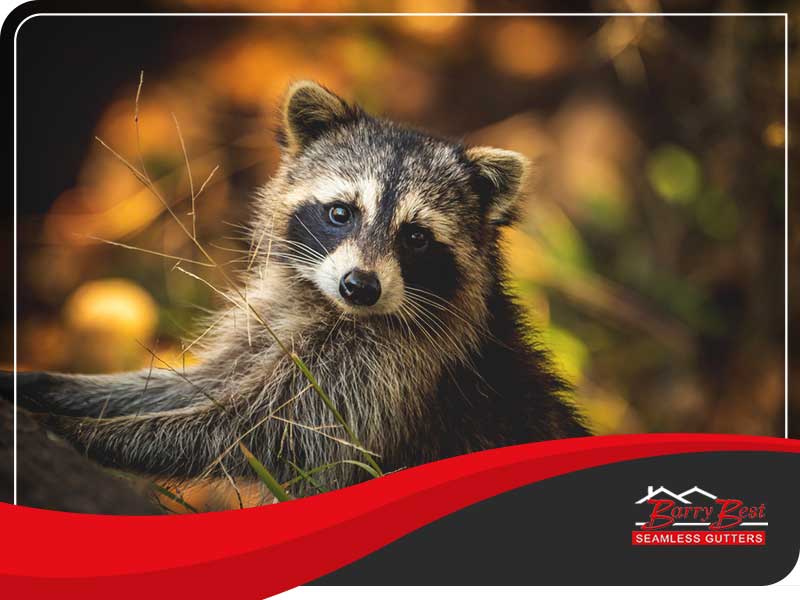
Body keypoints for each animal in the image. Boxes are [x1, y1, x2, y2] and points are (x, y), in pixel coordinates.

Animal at [10, 82, 588, 494]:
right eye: (340, 212)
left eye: (416, 237)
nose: (360, 286)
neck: (332, 307)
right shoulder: (270, 323)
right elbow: (190, 386)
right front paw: (49, 386)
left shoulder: (393, 370)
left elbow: (257, 432)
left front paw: (78, 430)